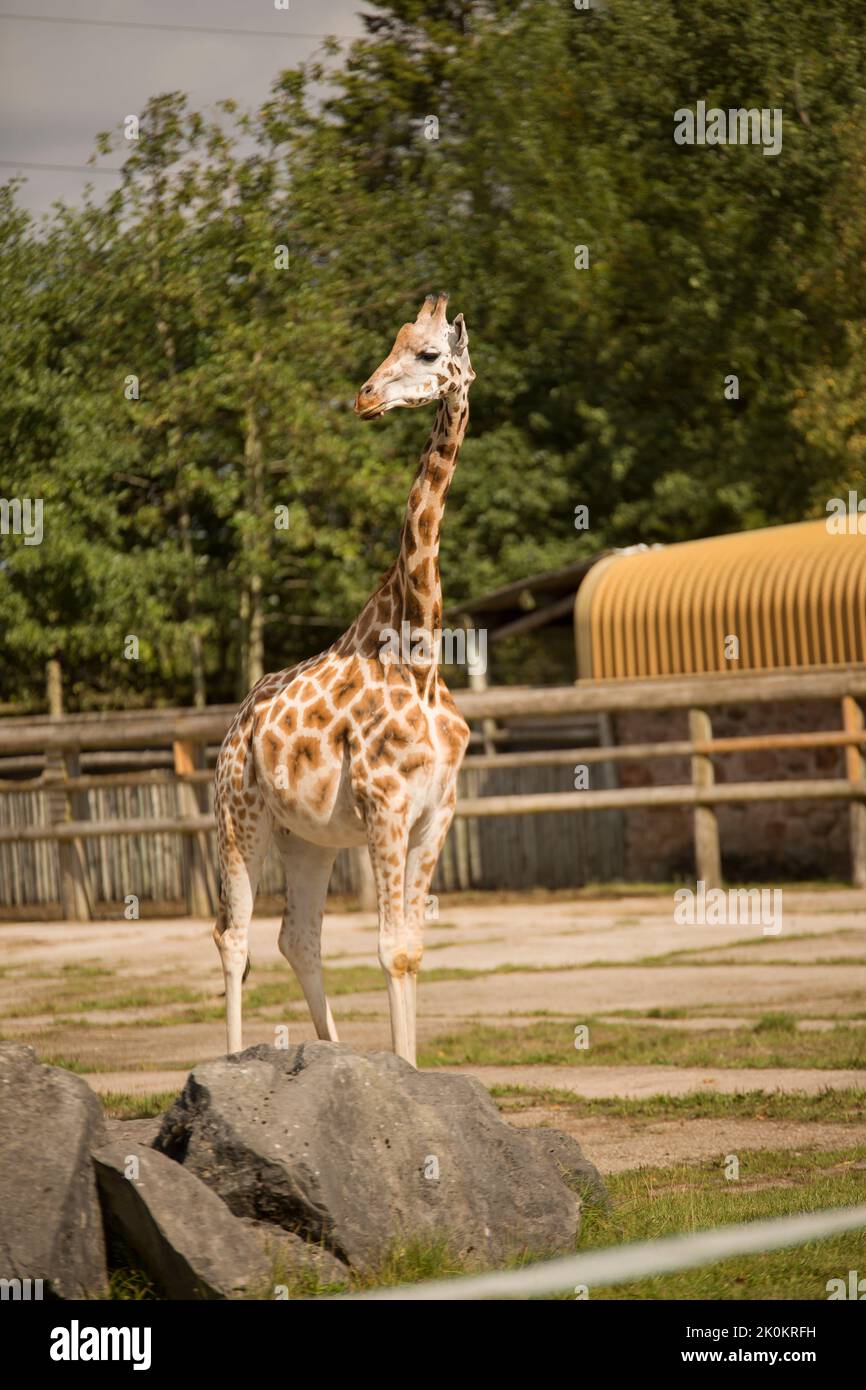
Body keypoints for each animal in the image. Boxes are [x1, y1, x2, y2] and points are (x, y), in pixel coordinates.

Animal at [214, 293, 478, 1061]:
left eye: (427, 353)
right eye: (395, 344)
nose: (363, 397)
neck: (419, 658)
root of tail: (235, 726)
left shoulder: (436, 811)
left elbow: (411, 950)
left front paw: (406, 1072)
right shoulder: (386, 804)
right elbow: (390, 949)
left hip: (308, 839)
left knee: (297, 937)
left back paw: (327, 1052)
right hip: (239, 815)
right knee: (233, 936)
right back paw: (230, 1058)